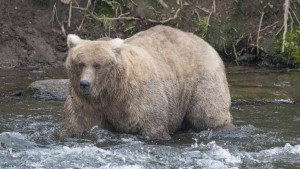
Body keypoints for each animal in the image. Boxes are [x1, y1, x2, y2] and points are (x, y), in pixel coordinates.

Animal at [57, 24, 233, 139]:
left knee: (208, 112)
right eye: (80, 63)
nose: (85, 84)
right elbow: (75, 124)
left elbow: (153, 126)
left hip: (202, 80)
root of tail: (205, 42)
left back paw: (222, 128)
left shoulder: (139, 97)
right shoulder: (86, 104)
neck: (112, 93)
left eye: (97, 65)